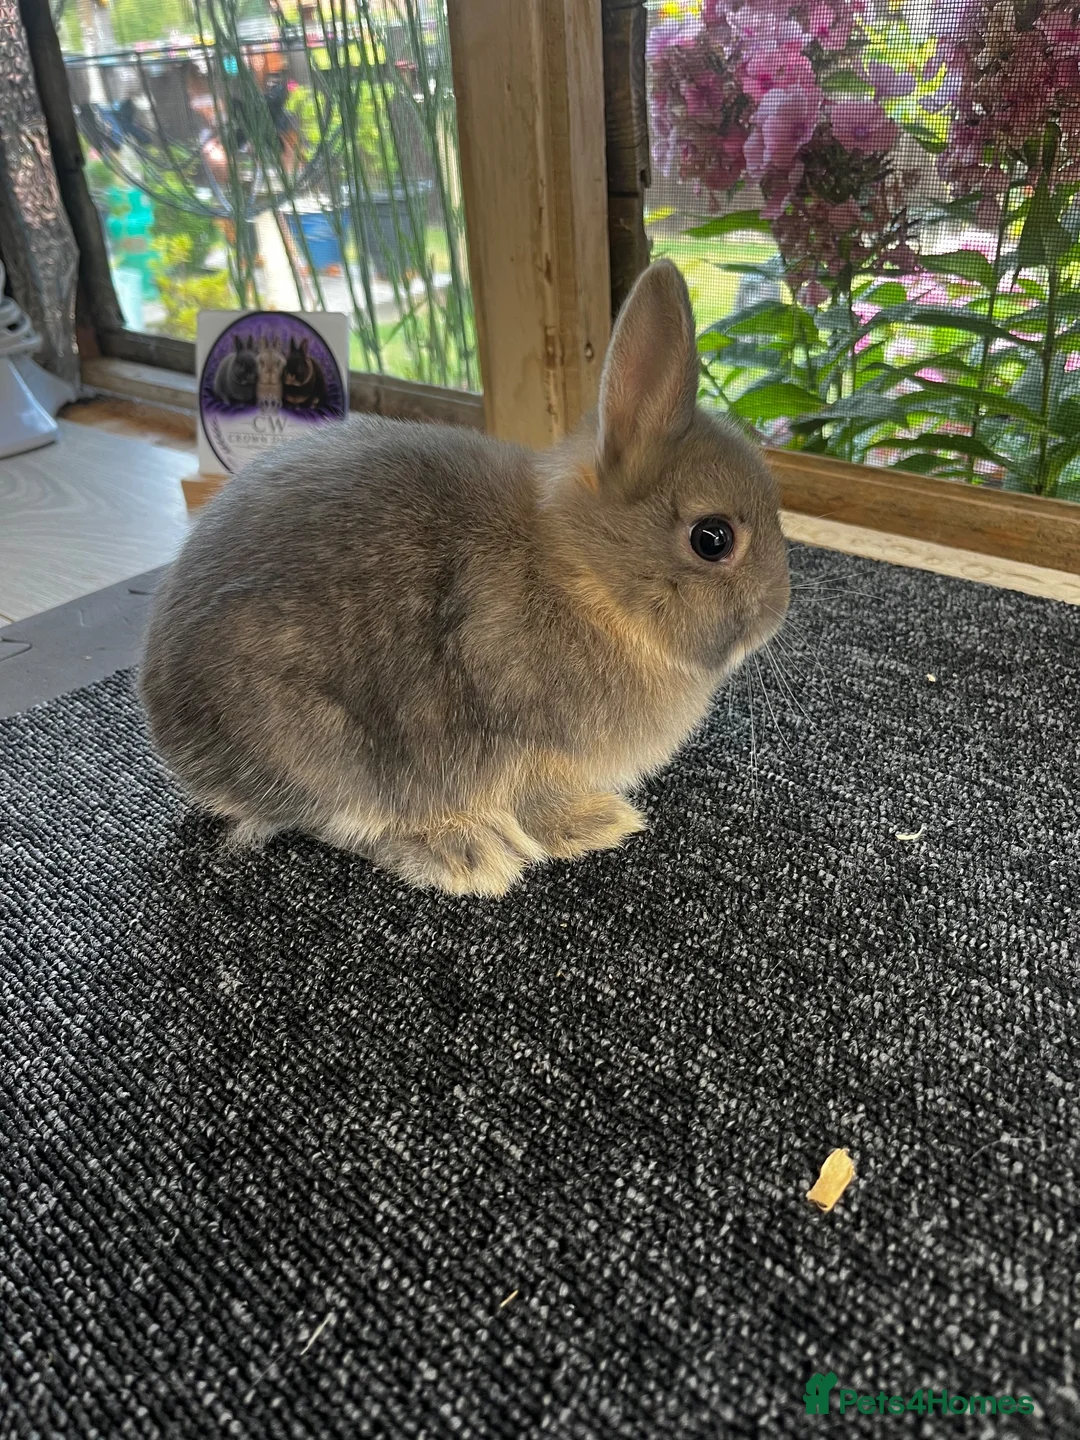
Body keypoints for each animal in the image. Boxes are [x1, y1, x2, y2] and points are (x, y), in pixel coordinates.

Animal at [140, 260, 790, 896]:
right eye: (713, 539)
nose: (777, 613)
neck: (584, 575)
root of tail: (171, 730)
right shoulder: (524, 739)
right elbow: (534, 799)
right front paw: (598, 823)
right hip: (325, 748)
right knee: (342, 820)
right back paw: (465, 854)